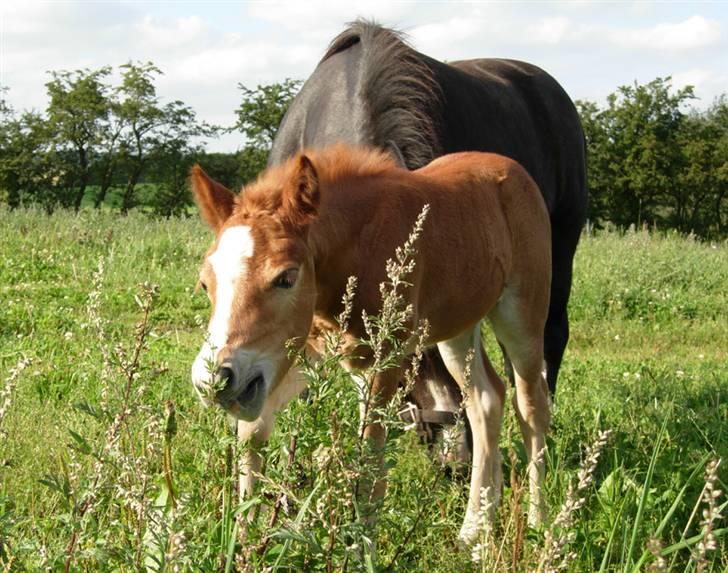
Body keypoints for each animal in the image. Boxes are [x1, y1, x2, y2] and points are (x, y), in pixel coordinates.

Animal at [191, 143, 548, 540]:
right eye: (205, 282)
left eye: (286, 277)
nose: (215, 381)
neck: (357, 249)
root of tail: (512, 169)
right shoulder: (298, 353)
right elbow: (252, 434)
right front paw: (244, 540)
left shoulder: (381, 363)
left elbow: (369, 468)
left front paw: (358, 547)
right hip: (458, 328)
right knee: (485, 400)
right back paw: (474, 528)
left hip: (524, 315)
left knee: (531, 405)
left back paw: (539, 523)